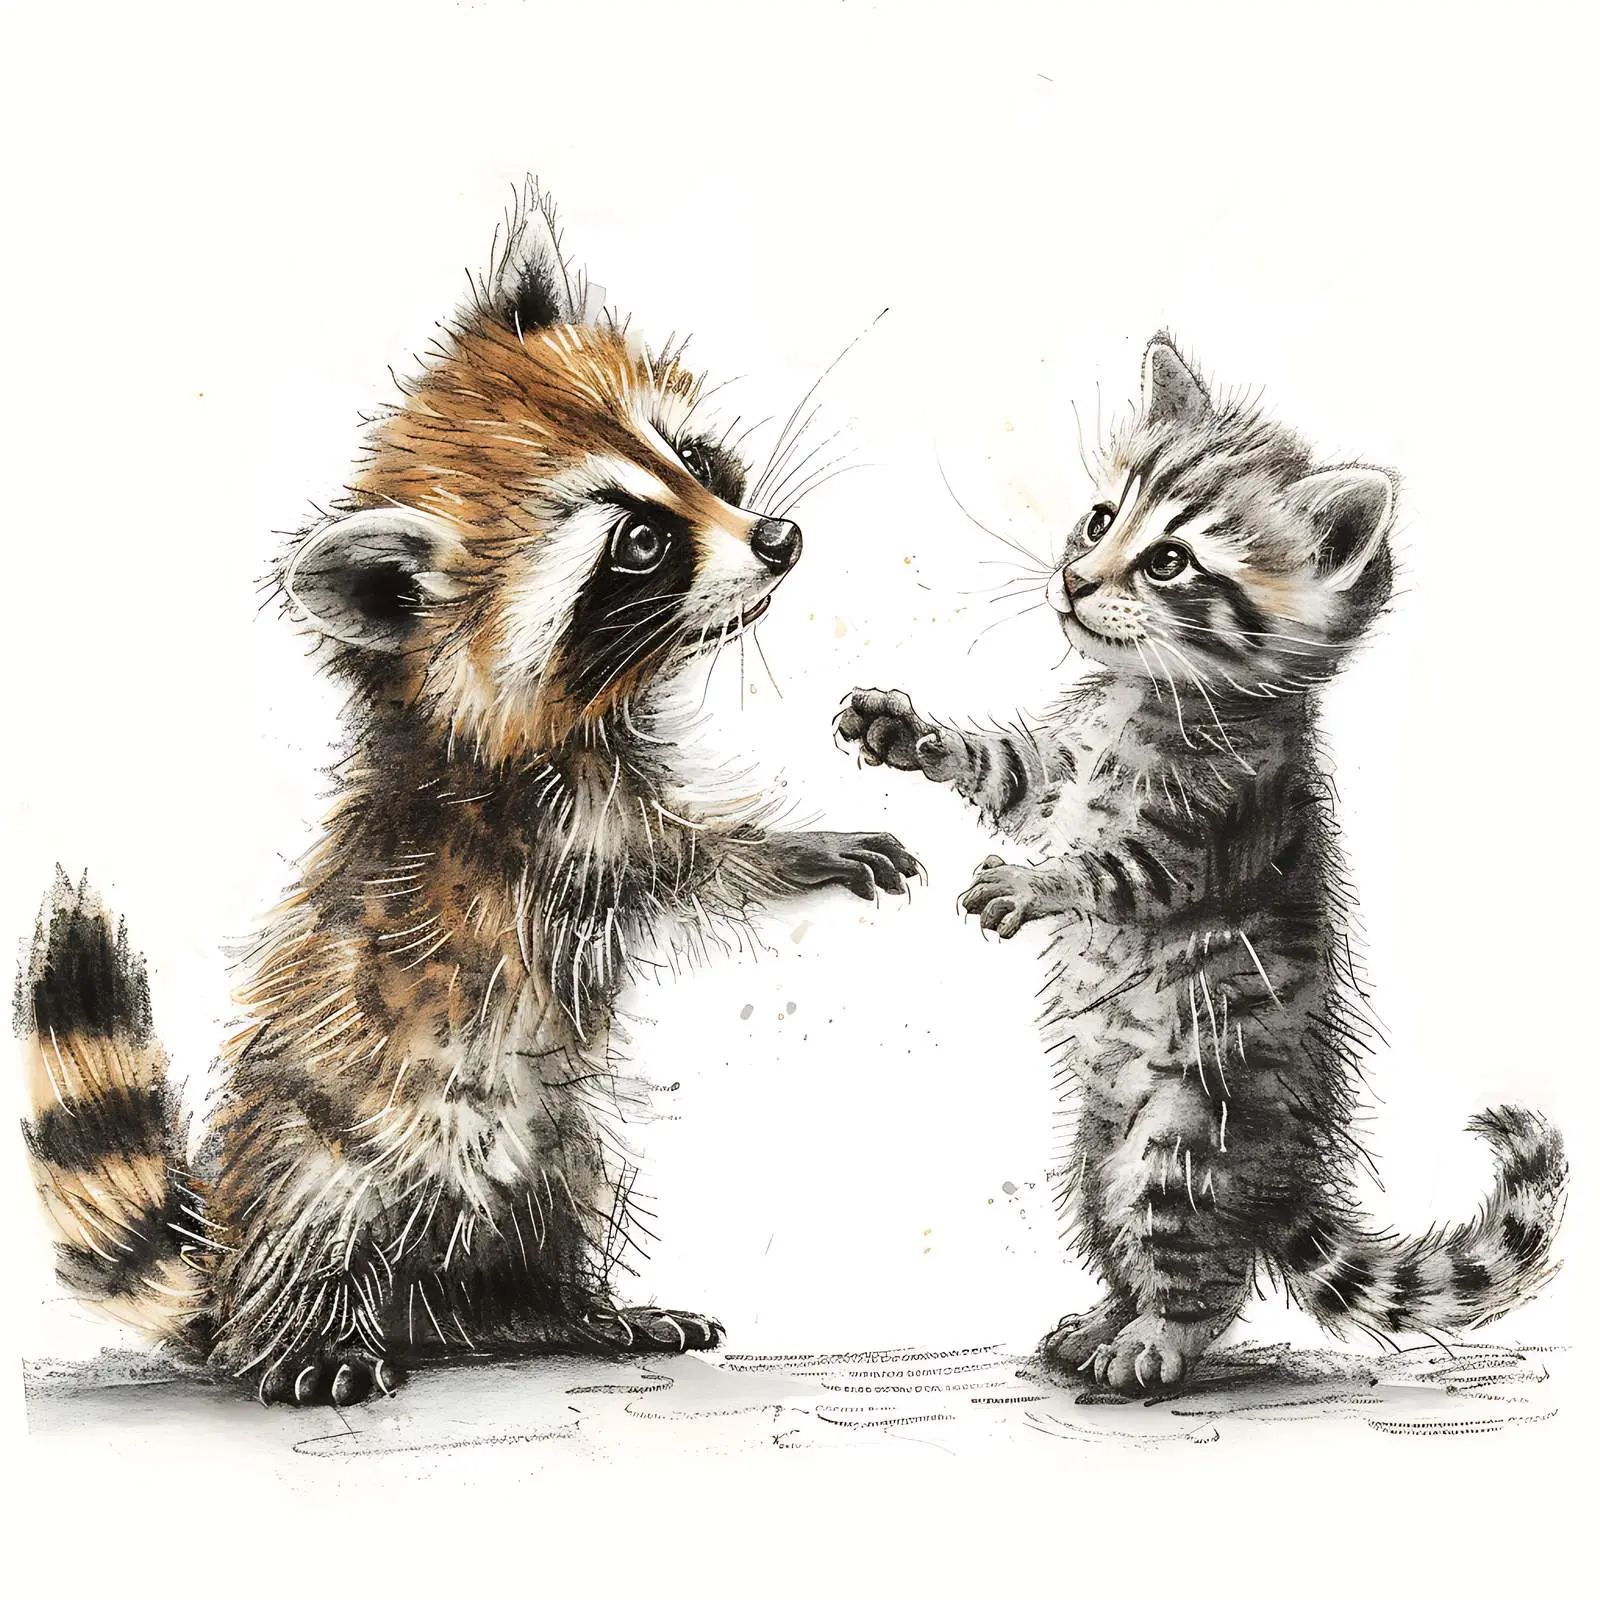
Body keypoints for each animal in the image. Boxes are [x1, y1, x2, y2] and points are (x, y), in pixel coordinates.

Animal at [18, 181, 918, 1406]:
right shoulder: (559, 825)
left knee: (553, 1210)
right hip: (340, 1147)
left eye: (690, 455)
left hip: (554, 1137)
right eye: (640, 543)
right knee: (325, 1224)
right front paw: (792, 848)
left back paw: (564, 1309)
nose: (779, 540)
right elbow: (690, 861)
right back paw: (306, 1334)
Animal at [835, 333, 1566, 1394]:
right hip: (1090, 1147)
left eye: (1170, 562)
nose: (1072, 580)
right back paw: (1107, 1315)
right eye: (1102, 518)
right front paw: (913, 734)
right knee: (1111, 1228)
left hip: (1186, 1132)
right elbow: (1008, 772)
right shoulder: (1057, 765)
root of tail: (1282, 1187)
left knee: (1197, 1259)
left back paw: (1159, 1338)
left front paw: (1037, 882)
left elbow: (1118, 874)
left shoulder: (1212, 826)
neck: (1148, 692)